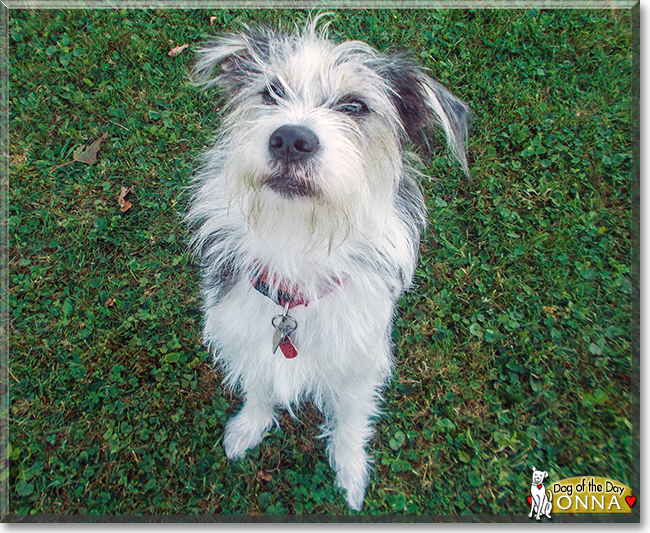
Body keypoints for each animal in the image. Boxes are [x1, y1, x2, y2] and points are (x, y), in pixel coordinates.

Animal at [185, 14, 468, 510]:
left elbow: (352, 419)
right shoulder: (246, 338)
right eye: (271, 92)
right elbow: (259, 387)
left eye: (355, 106)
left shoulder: (358, 363)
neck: (296, 244)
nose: (290, 138)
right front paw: (248, 428)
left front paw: (351, 471)